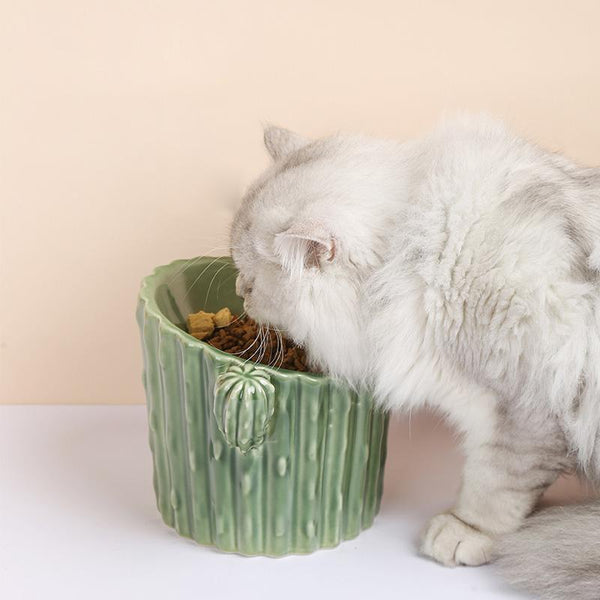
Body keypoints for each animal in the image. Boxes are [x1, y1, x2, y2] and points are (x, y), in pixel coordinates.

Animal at [229, 113, 600, 600]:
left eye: (251, 283)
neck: (415, 251)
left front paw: (465, 531)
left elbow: (496, 485)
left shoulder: (526, 405)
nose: (239, 291)